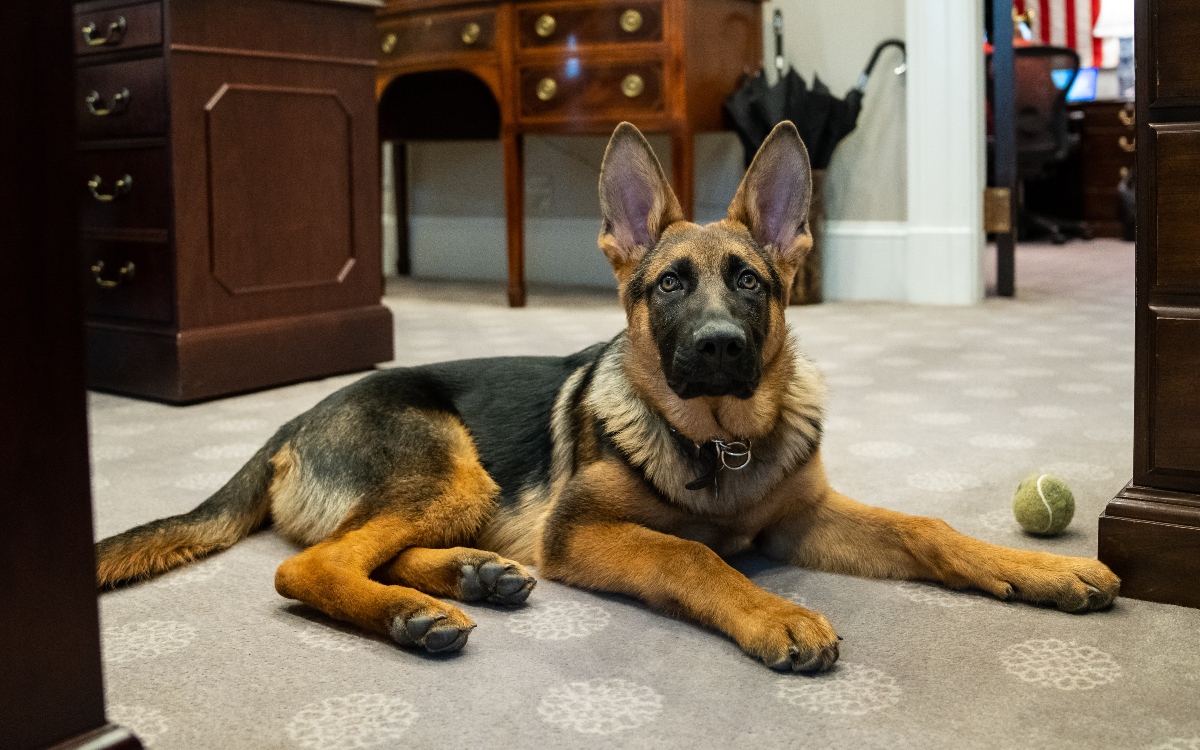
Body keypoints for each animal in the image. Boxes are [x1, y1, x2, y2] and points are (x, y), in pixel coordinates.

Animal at [98, 123, 1118, 672]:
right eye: (668, 286)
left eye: (750, 283)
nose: (719, 348)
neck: (720, 441)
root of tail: (291, 419)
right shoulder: (584, 534)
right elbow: (696, 557)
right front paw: (775, 612)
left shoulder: (804, 517)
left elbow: (926, 529)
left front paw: (1038, 570)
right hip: (452, 468)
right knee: (309, 567)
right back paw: (415, 615)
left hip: (461, 495)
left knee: (368, 552)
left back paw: (471, 576)